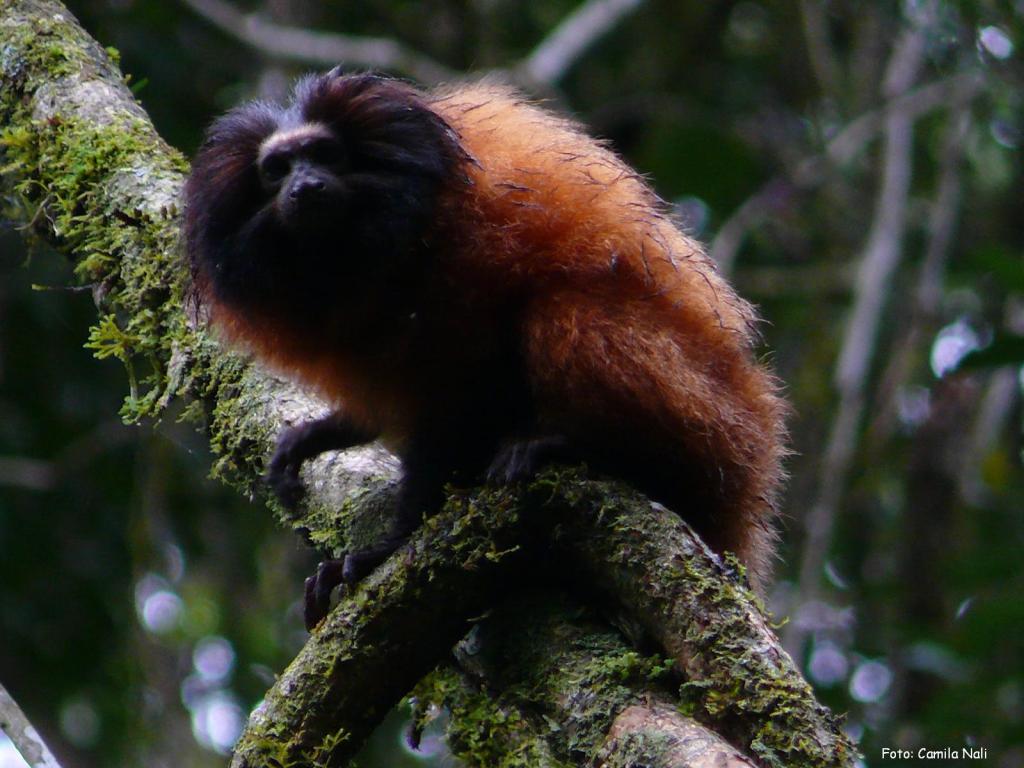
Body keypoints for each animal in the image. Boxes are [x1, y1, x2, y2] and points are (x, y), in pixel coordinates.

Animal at [184, 69, 786, 626]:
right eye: (276, 170)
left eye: (323, 154)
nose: (306, 185)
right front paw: (321, 434)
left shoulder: (459, 258)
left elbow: (459, 394)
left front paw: (389, 548)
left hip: (710, 417)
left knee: (557, 313)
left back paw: (576, 444)